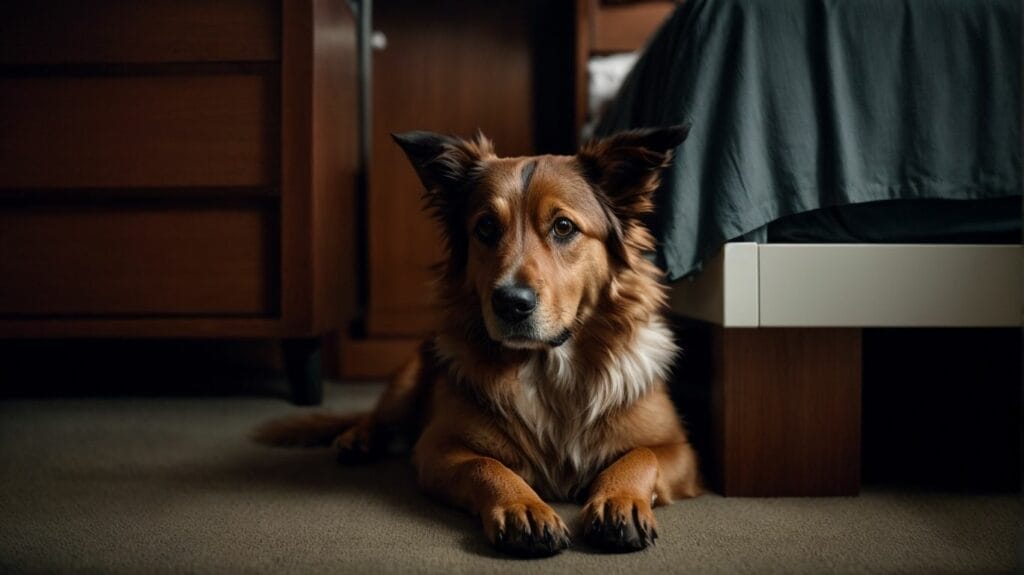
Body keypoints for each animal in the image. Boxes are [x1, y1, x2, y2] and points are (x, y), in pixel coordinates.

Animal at [258, 126, 704, 556]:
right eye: (486, 227)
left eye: (563, 227)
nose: (510, 302)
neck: (549, 368)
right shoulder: (437, 448)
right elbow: (486, 466)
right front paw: (524, 507)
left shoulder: (680, 450)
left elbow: (641, 455)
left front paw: (618, 500)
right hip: (410, 376)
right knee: (380, 416)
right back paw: (358, 439)